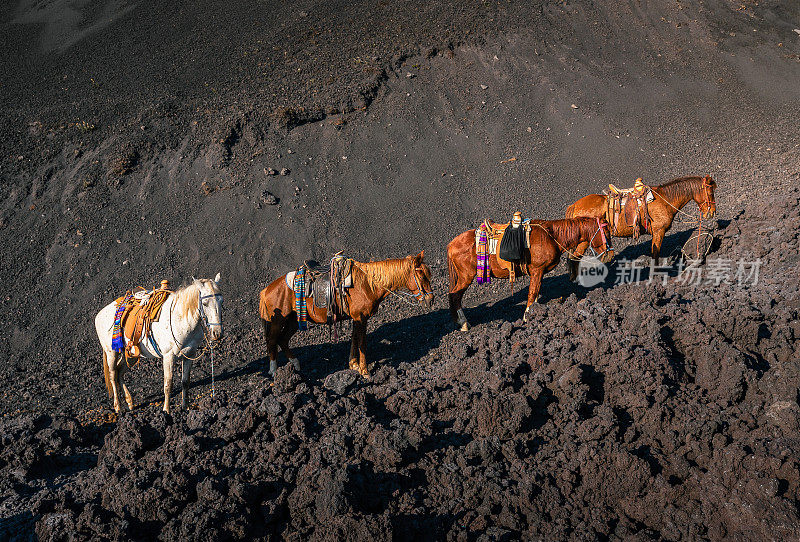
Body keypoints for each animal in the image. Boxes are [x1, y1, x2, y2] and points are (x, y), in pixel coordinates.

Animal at [95, 276, 223, 416]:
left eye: (221, 301)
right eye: (204, 303)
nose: (217, 333)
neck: (181, 318)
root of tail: (99, 315)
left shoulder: (189, 355)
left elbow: (185, 382)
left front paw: (185, 408)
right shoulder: (168, 356)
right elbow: (168, 384)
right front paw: (166, 410)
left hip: (130, 354)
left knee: (120, 372)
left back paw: (130, 402)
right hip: (111, 352)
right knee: (113, 375)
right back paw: (118, 407)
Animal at [258, 254, 434, 378]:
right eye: (422, 276)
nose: (431, 299)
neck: (367, 284)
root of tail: (267, 290)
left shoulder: (358, 318)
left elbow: (354, 339)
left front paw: (353, 364)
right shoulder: (361, 318)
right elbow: (362, 343)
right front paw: (364, 371)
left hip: (294, 320)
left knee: (283, 340)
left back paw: (295, 364)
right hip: (278, 320)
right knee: (272, 340)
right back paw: (273, 371)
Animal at [444, 218, 612, 332]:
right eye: (606, 232)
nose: (609, 253)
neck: (551, 236)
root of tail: (451, 244)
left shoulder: (539, 272)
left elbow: (536, 292)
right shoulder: (537, 270)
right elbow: (532, 293)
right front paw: (527, 316)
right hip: (466, 276)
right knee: (455, 296)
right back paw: (463, 323)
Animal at [564, 174, 716, 268]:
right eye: (710, 192)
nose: (712, 212)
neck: (666, 199)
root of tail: (574, 206)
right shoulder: (659, 232)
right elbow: (655, 254)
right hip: (584, 242)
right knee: (574, 259)